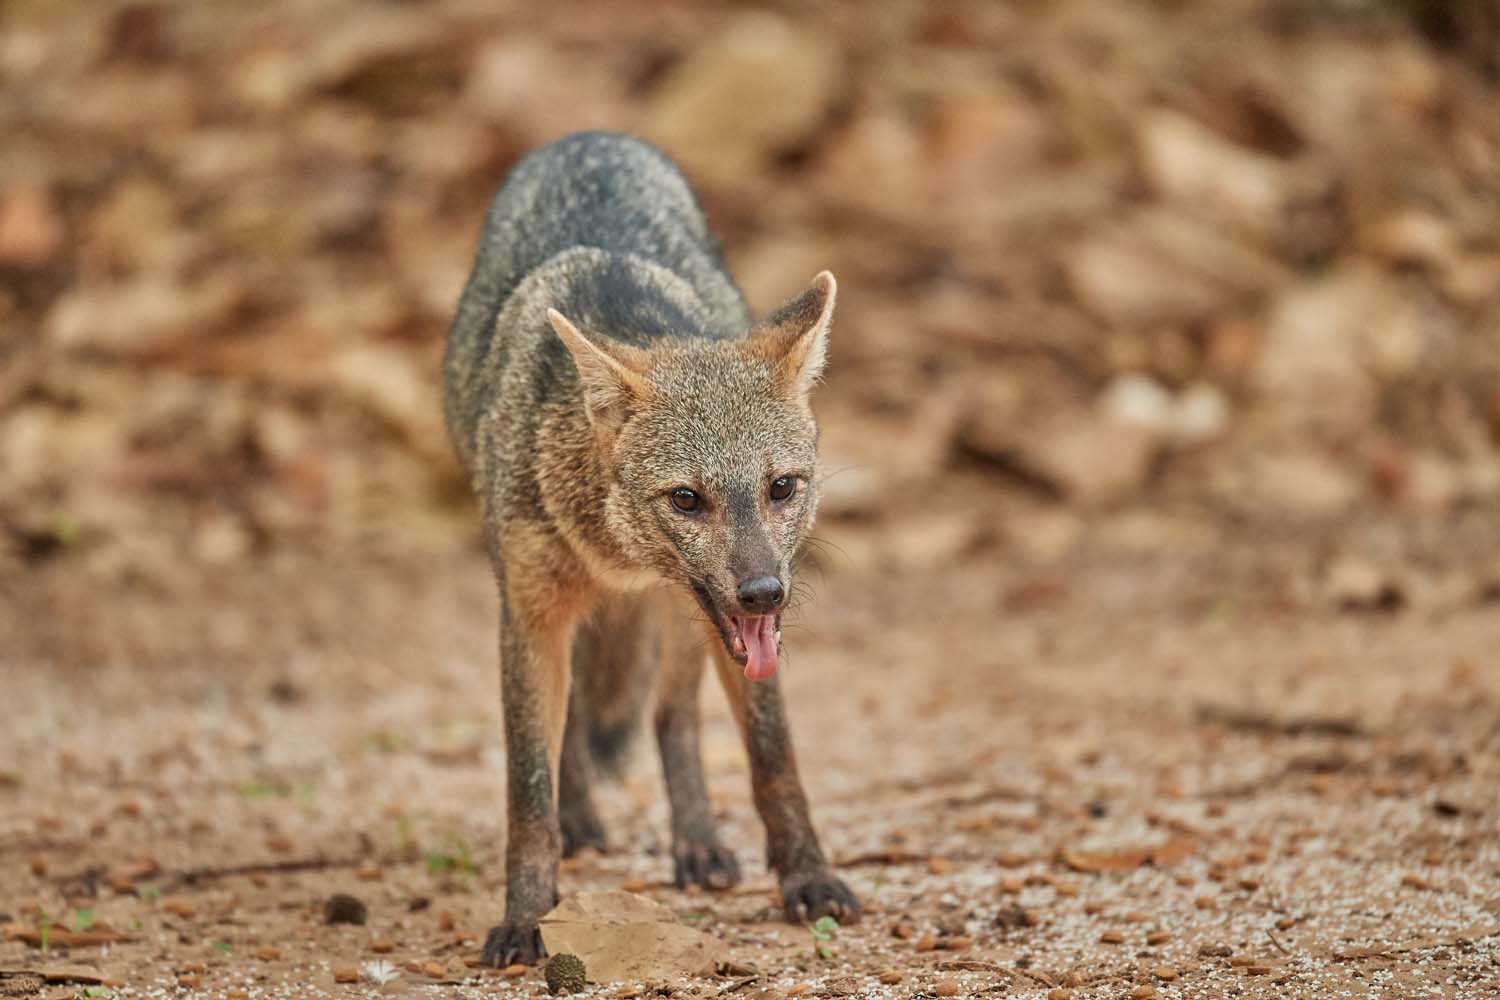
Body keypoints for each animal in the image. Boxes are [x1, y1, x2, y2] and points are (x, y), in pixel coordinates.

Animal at [442, 130, 860, 966]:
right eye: (687, 499)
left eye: (781, 488)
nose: (765, 593)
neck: (619, 560)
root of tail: (590, 136)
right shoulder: (531, 613)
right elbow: (528, 787)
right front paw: (526, 914)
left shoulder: (733, 634)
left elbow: (773, 755)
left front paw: (806, 876)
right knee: (574, 734)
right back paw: (583, 822)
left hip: (683, 625)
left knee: (672, 718)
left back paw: (695, 841)